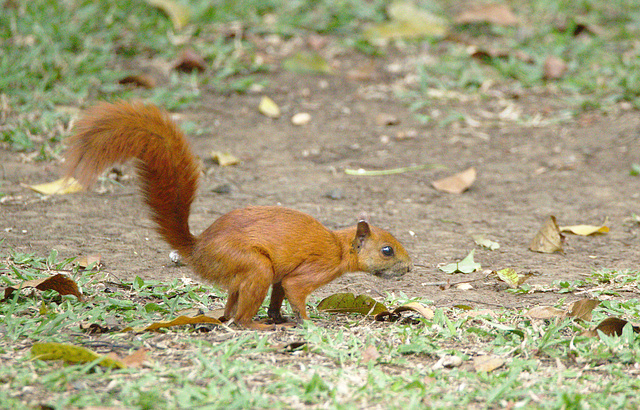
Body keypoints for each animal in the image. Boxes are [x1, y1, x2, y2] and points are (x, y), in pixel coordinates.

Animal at [66, 101, 416, 330]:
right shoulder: (313, 270)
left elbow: (279, 294)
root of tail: (197, 250)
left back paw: (231, 318)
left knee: (229, 311)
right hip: (253, 266)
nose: (409, 268)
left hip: (242, 275)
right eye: (387, 250)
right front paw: (307, 323)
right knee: (240, 320)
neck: (340, 247)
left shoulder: (281, 276)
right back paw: (255, 325)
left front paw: (278, 316)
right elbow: (295, 292)